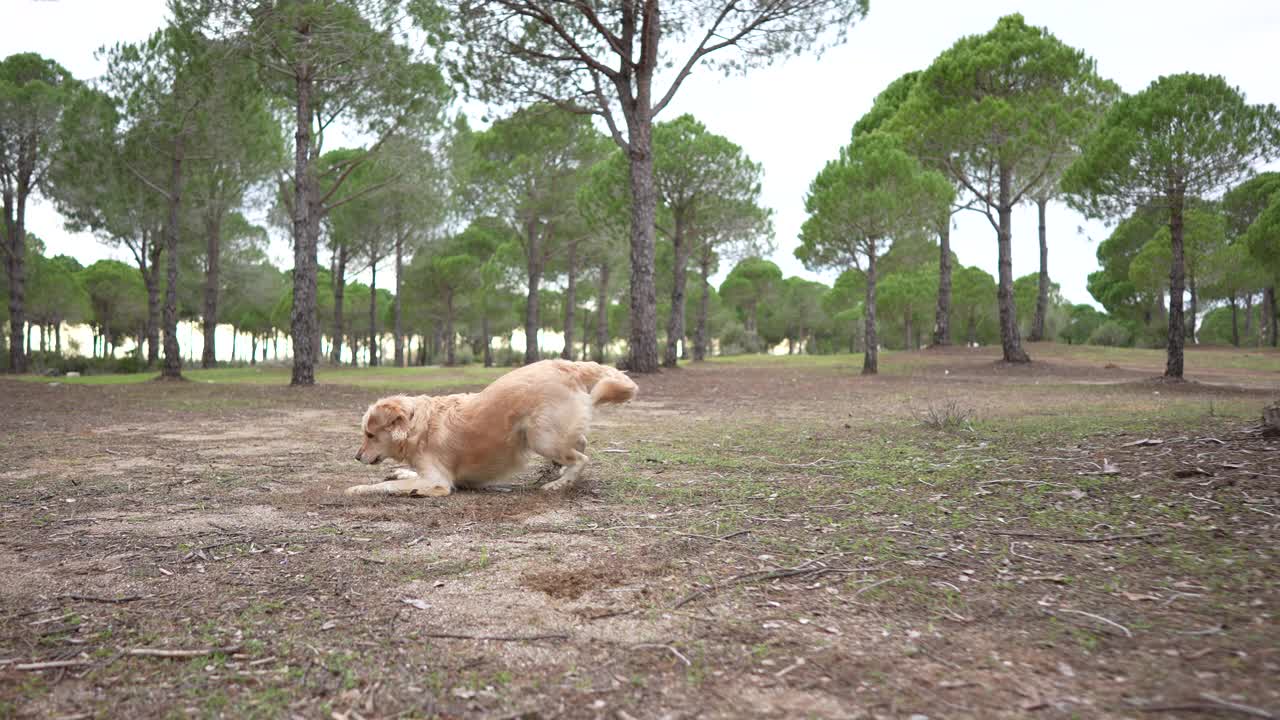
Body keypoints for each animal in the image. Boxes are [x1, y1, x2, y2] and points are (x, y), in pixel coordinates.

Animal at [348, 356, 637, 497]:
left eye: (370, 434)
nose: (357, 457)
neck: (418, 425)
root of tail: (566, 365)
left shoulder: (438, 481)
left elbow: (383, 487)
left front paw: (359, 489)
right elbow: (404, 475)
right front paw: (399, 472)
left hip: (540, 437)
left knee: (582, 458)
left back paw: (558, 484)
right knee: (580, 444)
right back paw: (561, 473)